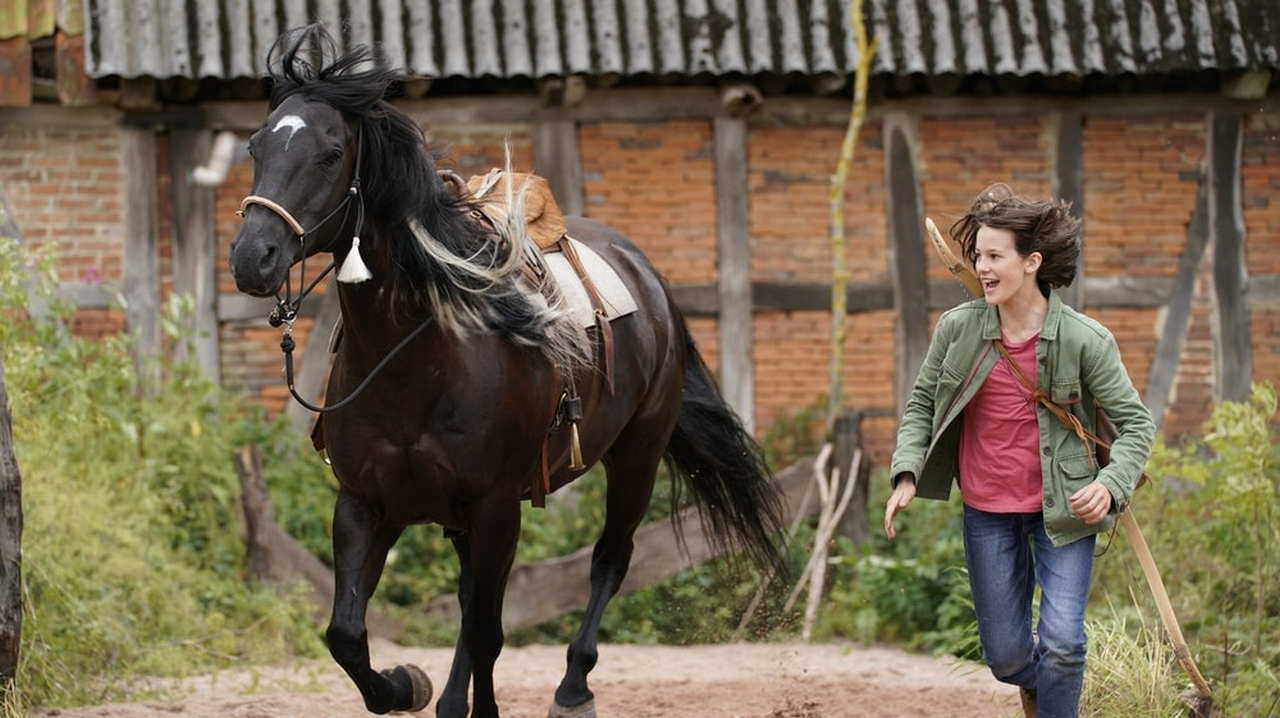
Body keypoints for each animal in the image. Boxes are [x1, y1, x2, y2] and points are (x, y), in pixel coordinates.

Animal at [231, 27, 788, 716]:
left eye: (332, 154)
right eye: (256, 146)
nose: (252, 257)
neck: (417, 363)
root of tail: (648, 276)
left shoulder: (497, 505)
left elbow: (487, 630)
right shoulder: (365, 504)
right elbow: (348, 635)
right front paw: (407, 684)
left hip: (636, 455)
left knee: (608, 559)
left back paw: (573, 687)